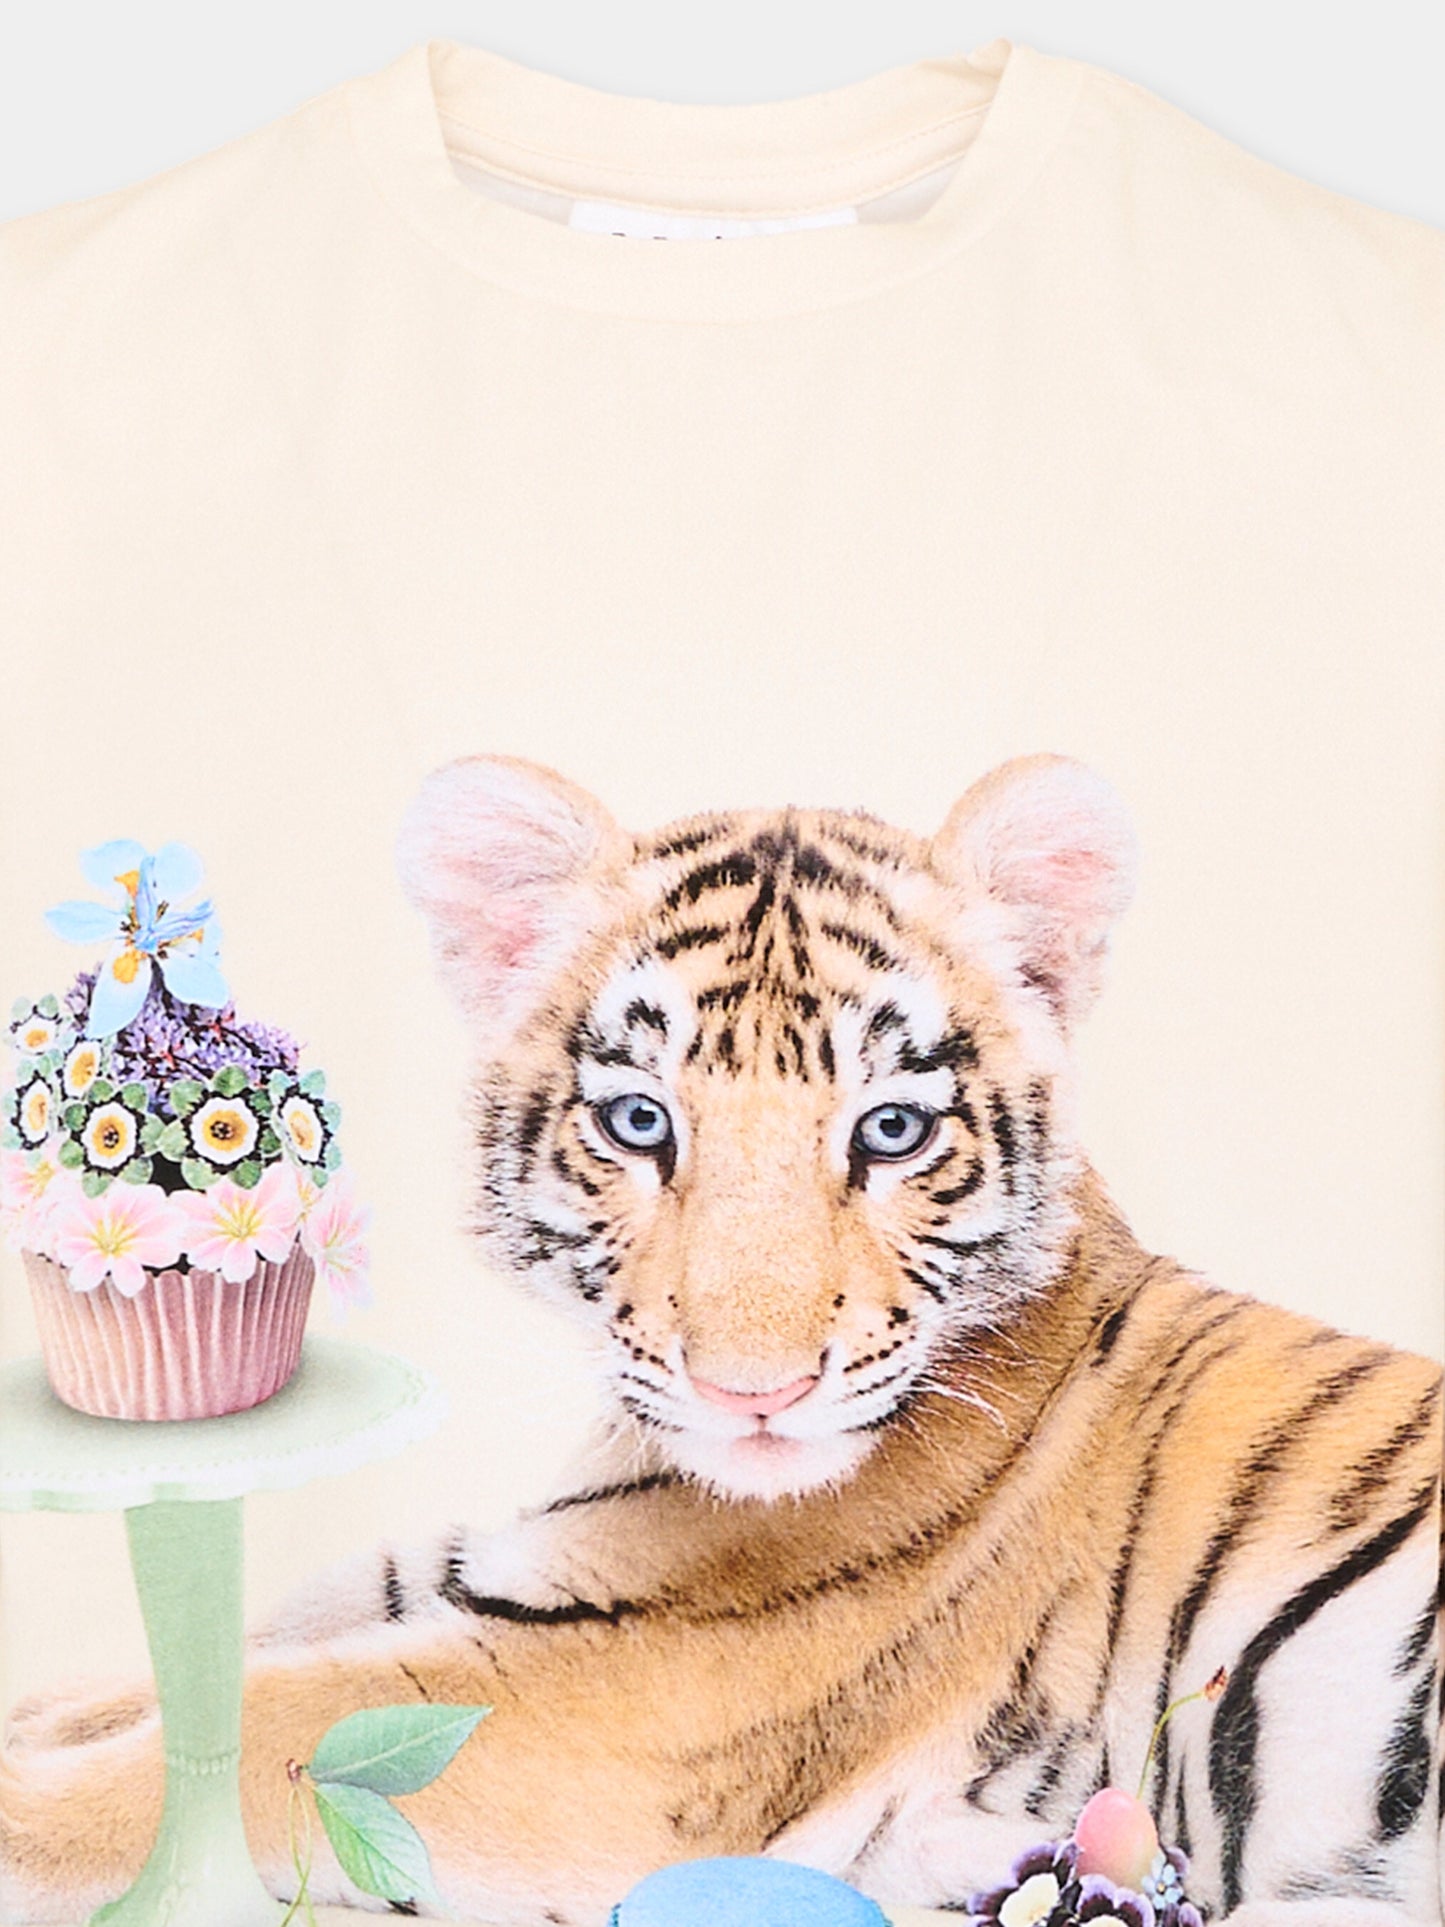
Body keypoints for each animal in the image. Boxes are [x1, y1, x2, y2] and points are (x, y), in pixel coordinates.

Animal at [2, 751, 1440, 1927]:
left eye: (891, 1130)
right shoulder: (484, 1579)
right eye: (640, 1122)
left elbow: (244, 1730)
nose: (758, 1392)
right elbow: (178, 1673)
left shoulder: (600, 1698)